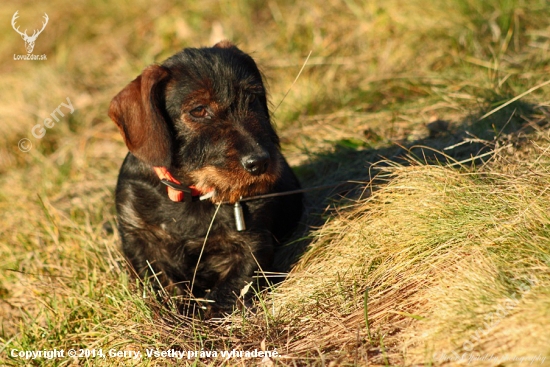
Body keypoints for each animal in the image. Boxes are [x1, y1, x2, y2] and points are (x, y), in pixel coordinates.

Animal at [109, 40, 304, 316]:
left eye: (252, 98)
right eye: (199, 110)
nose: (260, 162)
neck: (192, 191)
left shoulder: (253, 244)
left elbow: (227, 290)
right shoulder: (140, 239)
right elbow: (164, 284)